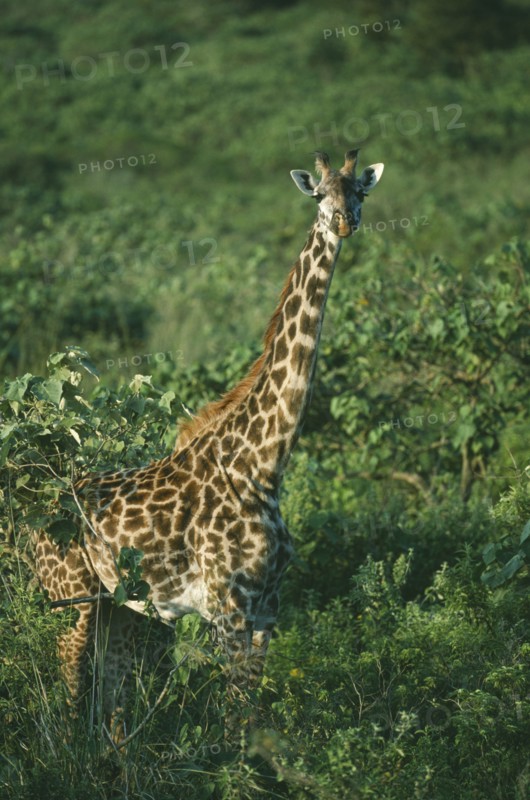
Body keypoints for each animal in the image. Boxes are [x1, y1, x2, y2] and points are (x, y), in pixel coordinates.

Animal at [34, 149, 384, 739]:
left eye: (359, 190)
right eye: (318, 195)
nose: (343, 221)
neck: (265, 462)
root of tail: (34, 514)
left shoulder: (268, 608)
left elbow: (251, 717)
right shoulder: (228, 607)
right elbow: (234, 719)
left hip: (118, 608)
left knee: (111, 698)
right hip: (69, 599)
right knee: (68, 683)